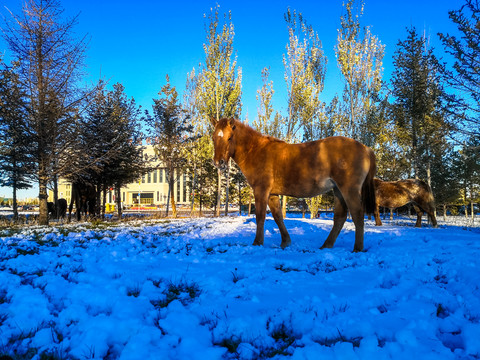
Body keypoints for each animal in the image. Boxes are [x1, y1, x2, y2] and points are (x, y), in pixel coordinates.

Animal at [212, 119, 376, 253]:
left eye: (229, 137)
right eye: (213, 138)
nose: (219, 162)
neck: (256, 150)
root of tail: (365, 148)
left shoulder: (261, 190)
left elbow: (260, 217)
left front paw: (257, 243)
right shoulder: (272, 194)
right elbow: (278, 217)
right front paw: (285, 242)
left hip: (349, 190)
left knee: (357, 214)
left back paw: (357, 248)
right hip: (338, 191)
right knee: (340, 218)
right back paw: (326, 245)